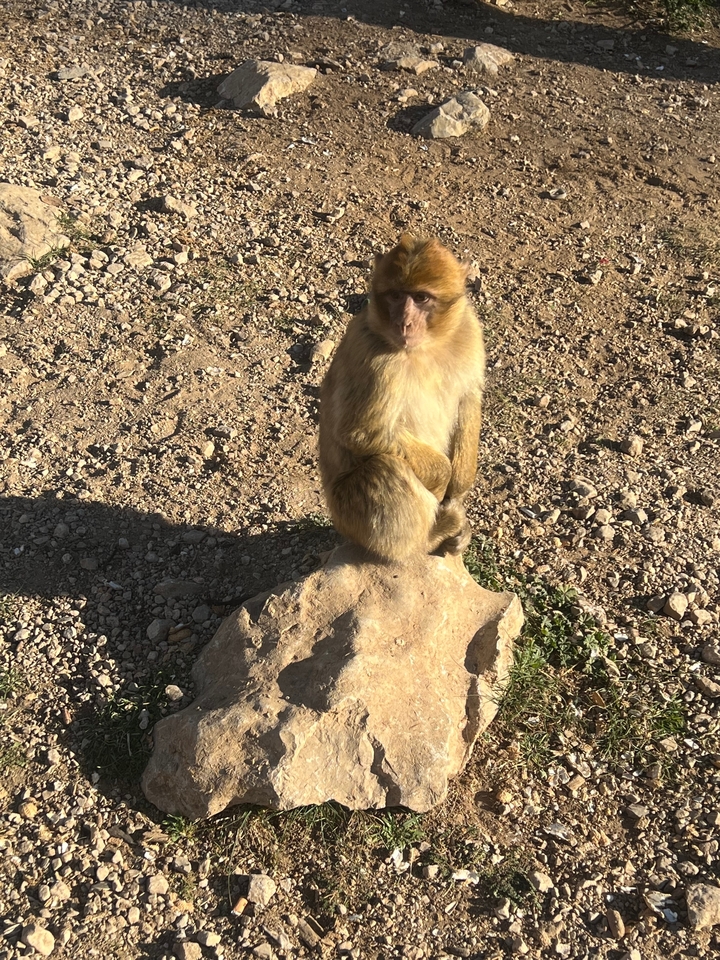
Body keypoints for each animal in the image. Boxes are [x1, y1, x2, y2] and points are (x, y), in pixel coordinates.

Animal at [319, 234, 485, 562]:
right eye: (396, 296)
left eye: (420, 298)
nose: (404, 322)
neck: (427, 346)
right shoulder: (376, 361)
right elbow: (362, 433)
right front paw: (442, 478)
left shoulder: (469, 329)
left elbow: (469, 397)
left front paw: (459, 484)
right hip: (350, 517)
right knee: (384, 468)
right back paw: (431, 536)